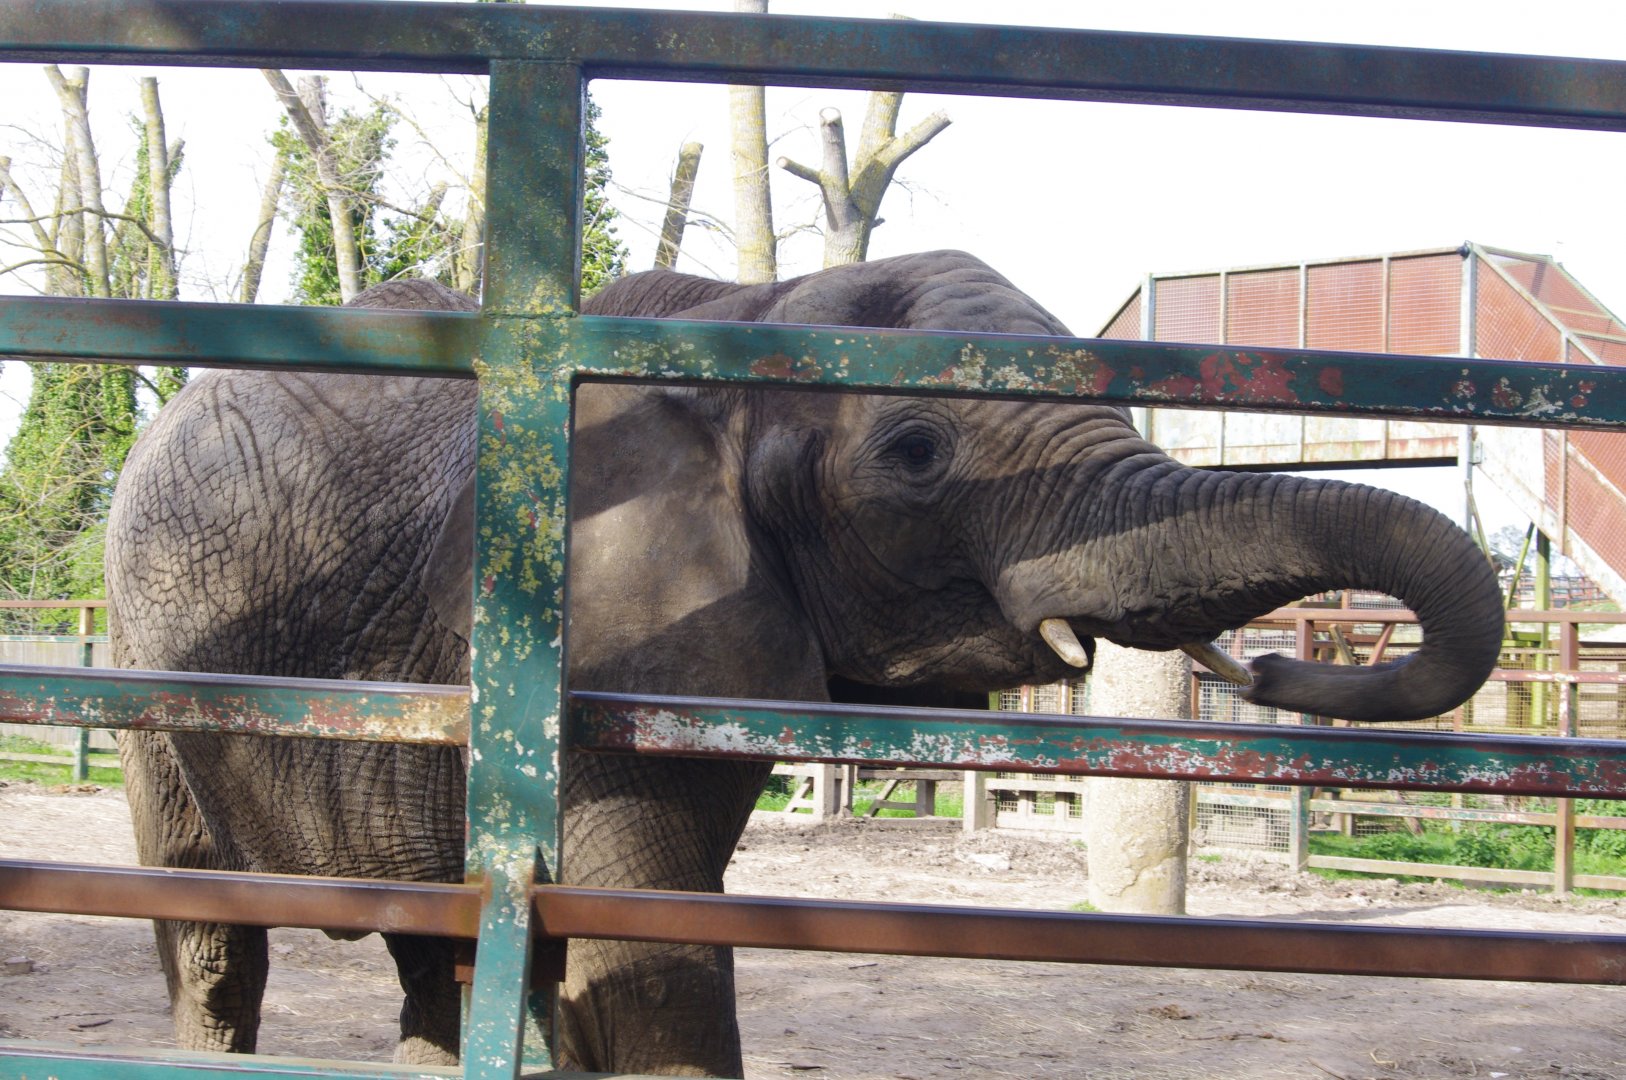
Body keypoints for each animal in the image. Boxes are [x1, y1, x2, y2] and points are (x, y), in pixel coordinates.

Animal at [106, 249, 1504, 1076]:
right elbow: (643, 959)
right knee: (210, 930)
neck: (745, 318)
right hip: (150, 658)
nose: (1275, 677)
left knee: (428, 947)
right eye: (917, 454)